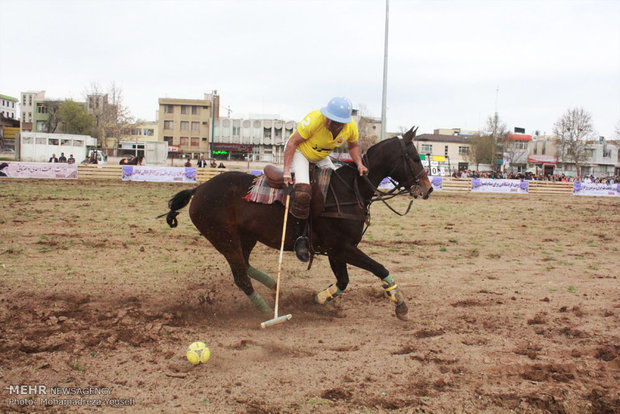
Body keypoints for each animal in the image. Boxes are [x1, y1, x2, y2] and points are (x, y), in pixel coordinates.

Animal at [160, 126, 432, 320]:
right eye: (414, 158)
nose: (427, 188)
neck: (349, 191)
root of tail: (199, 189)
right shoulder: (341, 247)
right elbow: (379, 268)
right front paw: (400, 305)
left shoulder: (337, 251)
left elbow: (343, 281)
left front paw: (319, 300)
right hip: (223, 238)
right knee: (240, 276)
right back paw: (268, 312)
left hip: (245, 237)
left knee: (245, 266)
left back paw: (277, 287)